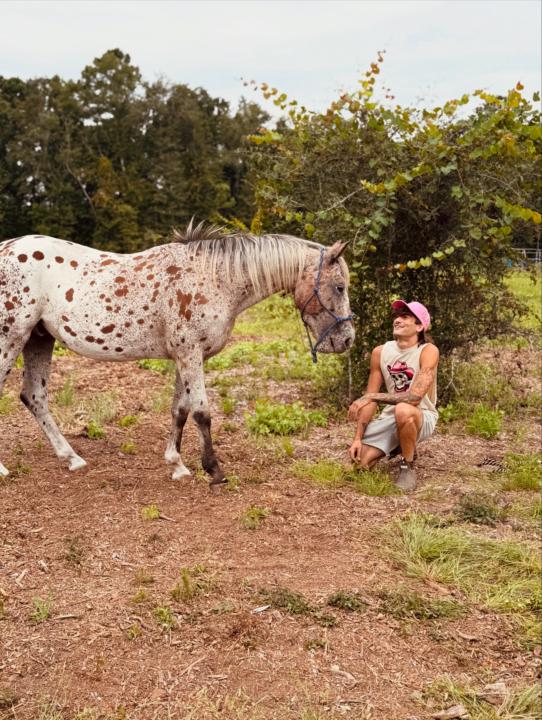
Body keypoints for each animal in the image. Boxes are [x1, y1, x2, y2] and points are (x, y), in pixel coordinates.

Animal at [0, 224, 355, 485]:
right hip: (12, 338)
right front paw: (214, 470)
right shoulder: (190, 354)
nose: (347, 340)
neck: (213, 278)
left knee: (34, 397)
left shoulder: (186, 356)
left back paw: (72, 457)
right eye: (340, 287)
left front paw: (177, 464)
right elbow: (202, 412)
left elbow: (180, 410)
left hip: (39, 339)